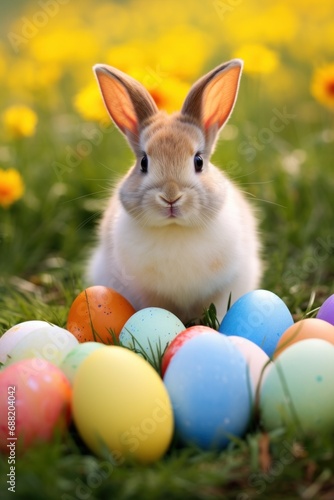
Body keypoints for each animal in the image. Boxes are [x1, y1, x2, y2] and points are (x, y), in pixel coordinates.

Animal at [87, 59, 262, 324]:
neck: (175, 229)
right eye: (144, 163)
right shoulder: (146, 291)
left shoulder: (225, 286)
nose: (171, 197)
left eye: (198, 161)